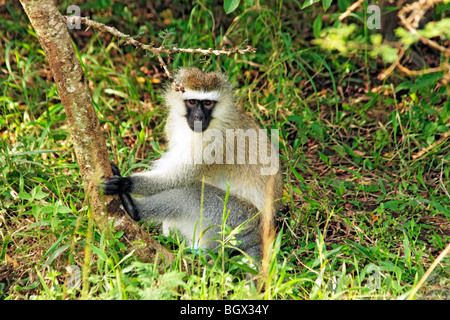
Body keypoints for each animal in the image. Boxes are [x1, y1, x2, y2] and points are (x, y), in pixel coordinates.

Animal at [103, 67, 284, 260]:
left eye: (207, 103)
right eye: (191, 102)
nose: (198, 116)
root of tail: (261, 234)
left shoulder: (215, 142)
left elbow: (176, 178)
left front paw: (124, 183)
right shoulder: (171, 123)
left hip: (237, 221)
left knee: (190, 193)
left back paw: (134, 209)